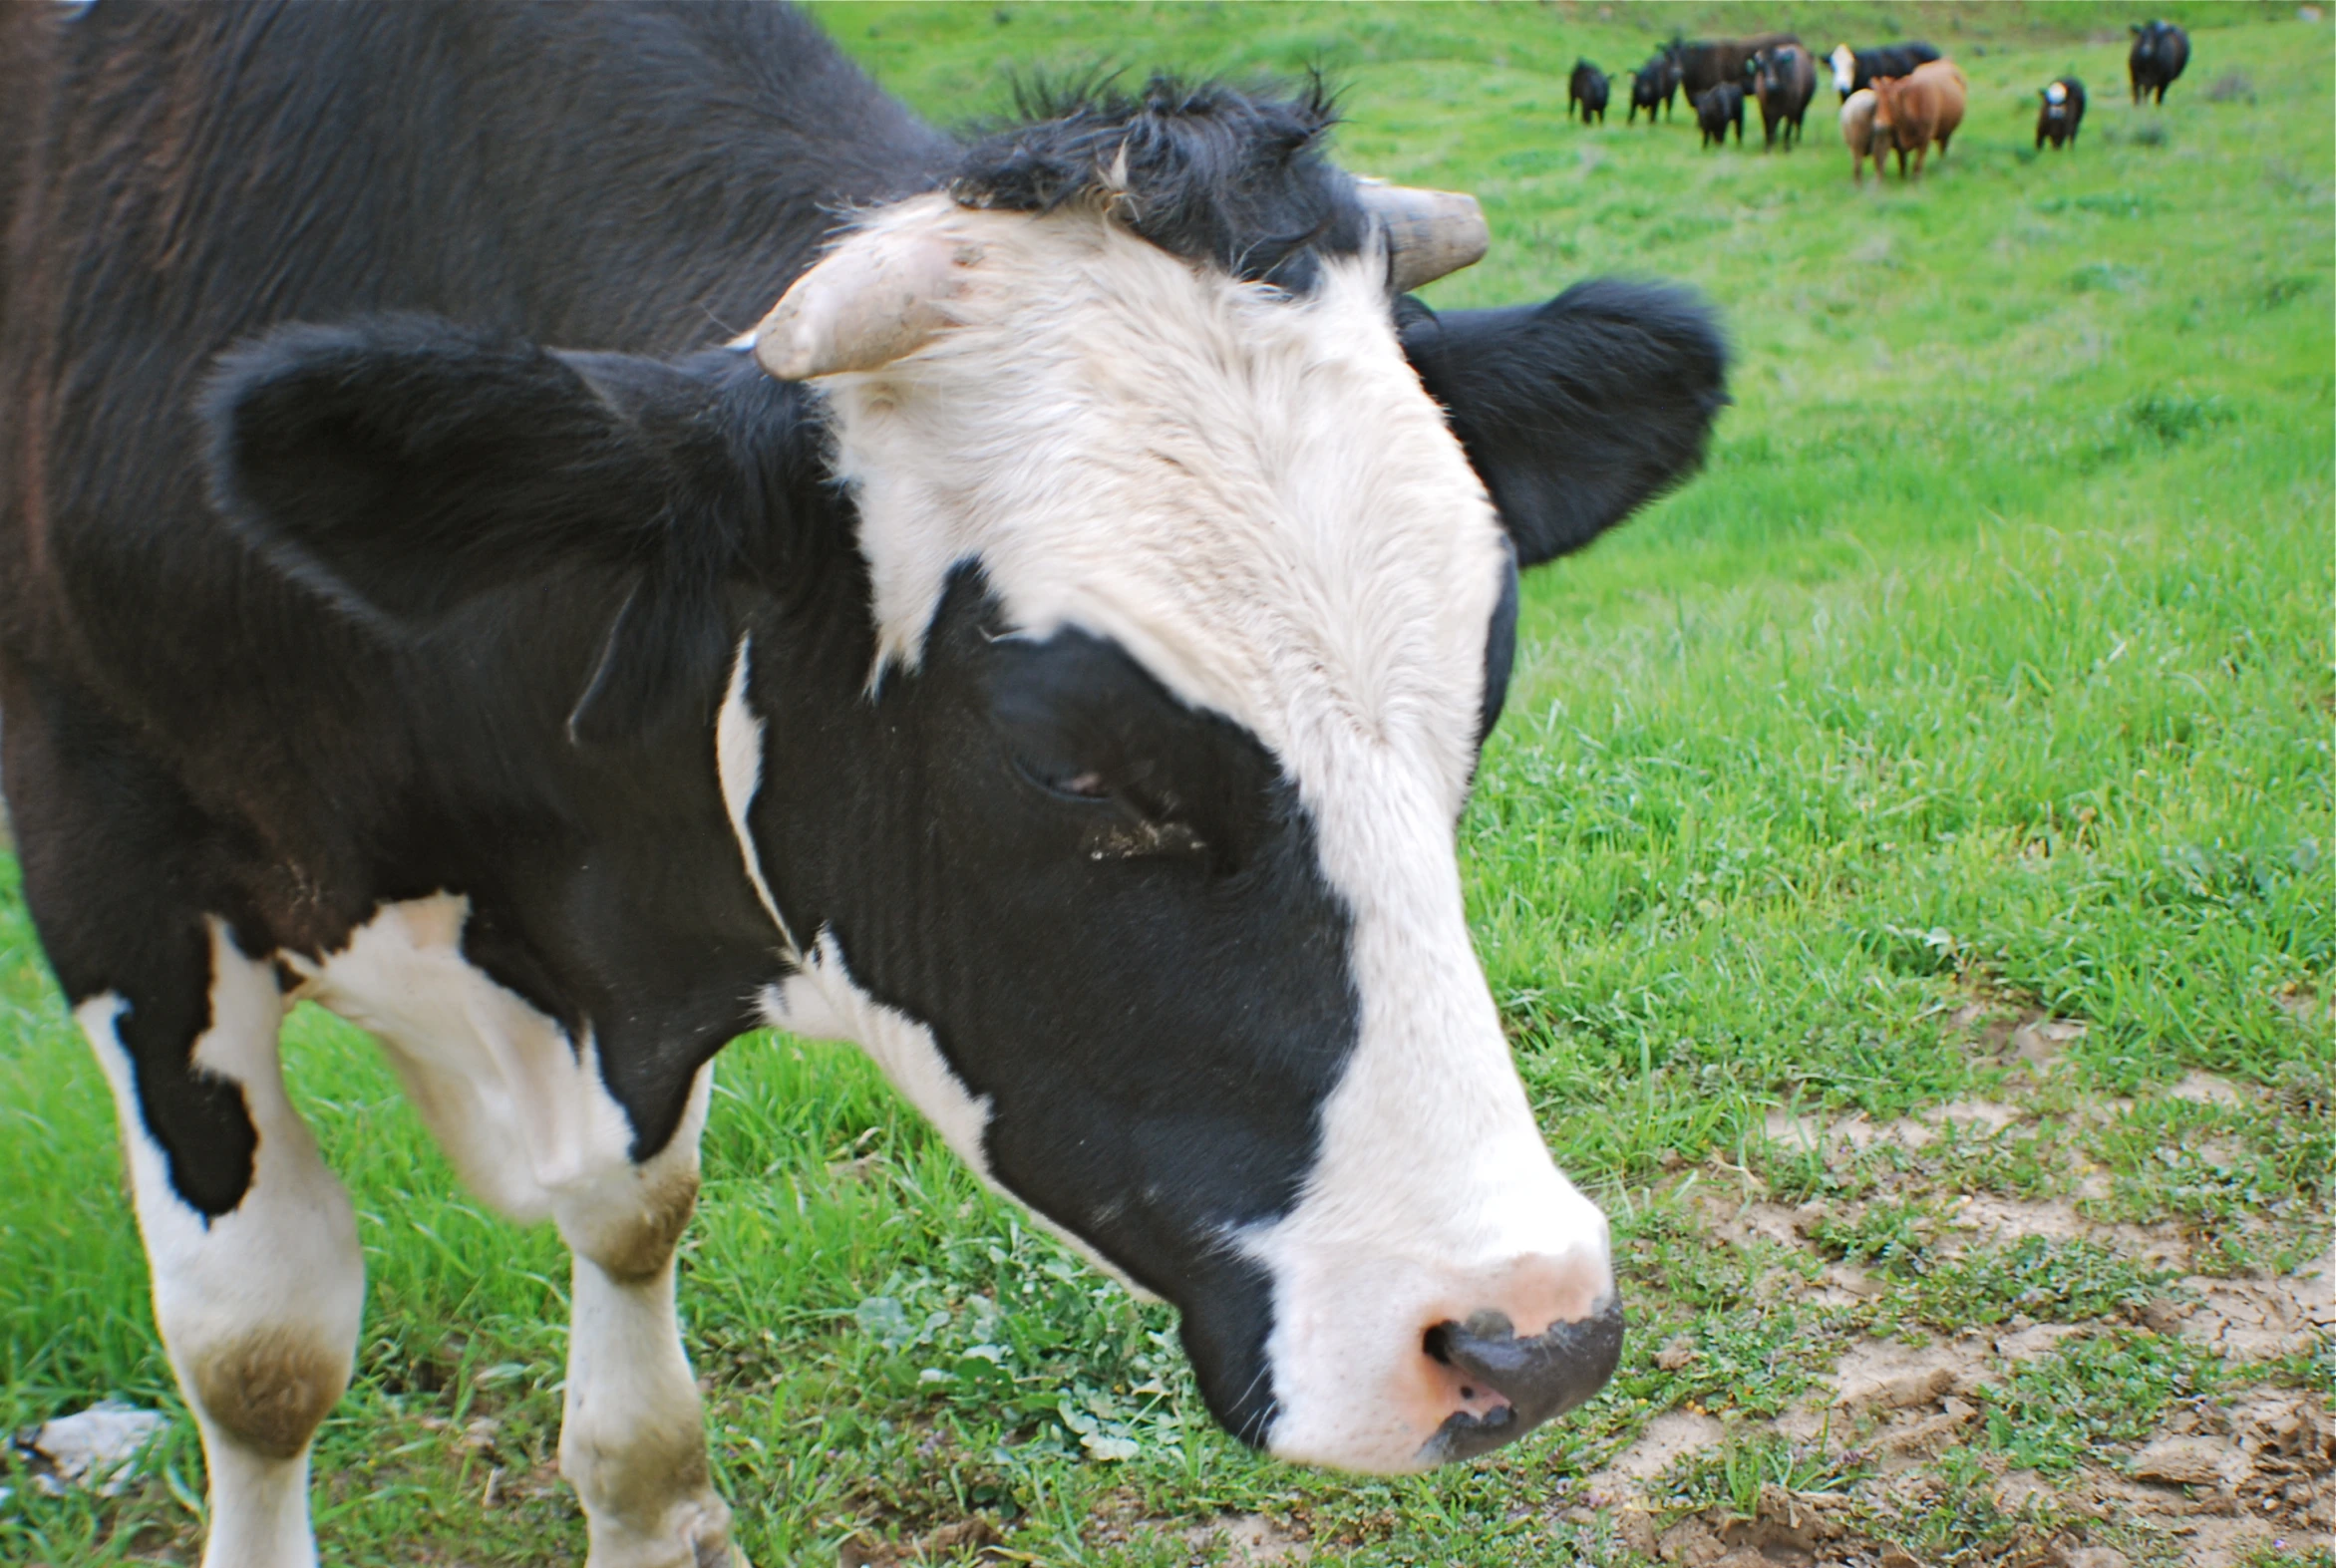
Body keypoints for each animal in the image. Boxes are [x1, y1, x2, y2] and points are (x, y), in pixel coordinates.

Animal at [0, 3, 1719, 1568]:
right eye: (1063, 758)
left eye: (1478, 686)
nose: (1530, 1333)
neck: (571, 955)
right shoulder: (110, 871)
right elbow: (262, 1349)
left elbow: (634, 1309)